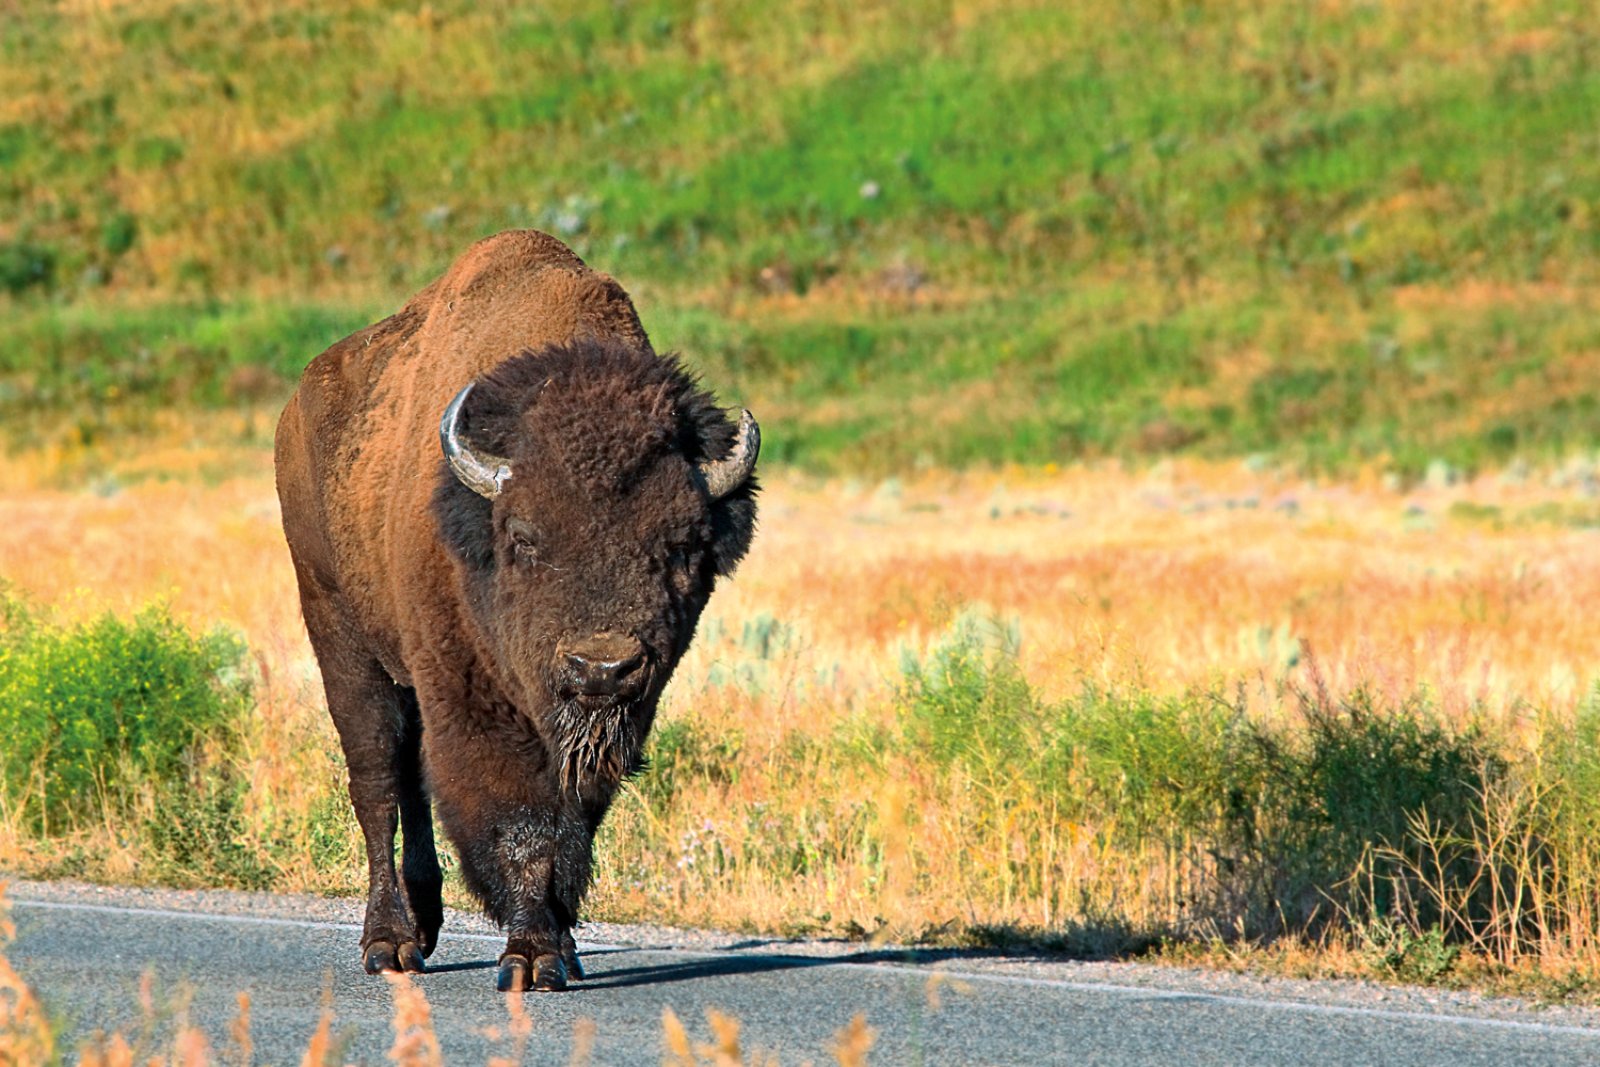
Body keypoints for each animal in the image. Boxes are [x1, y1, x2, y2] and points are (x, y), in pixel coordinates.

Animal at [276, 231, 761, 991]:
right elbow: (519, 819)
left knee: (412, 781)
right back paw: (390, 944)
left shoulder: (611, 720)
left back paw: (426, 922)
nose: (601, 667)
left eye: (682, 543)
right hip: (340, 634)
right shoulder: (476, 699)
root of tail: (297, 406)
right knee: (378, 778)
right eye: (526, 537)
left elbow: (572, 820)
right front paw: (529, 958)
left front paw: (561, 946)